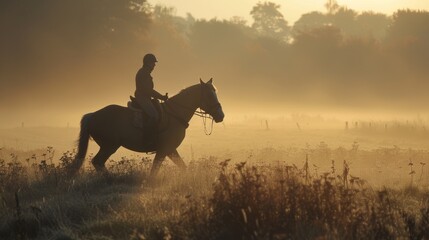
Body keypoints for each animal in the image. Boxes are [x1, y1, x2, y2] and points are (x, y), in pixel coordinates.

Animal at [69, 79, 224, 176]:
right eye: (209, 95)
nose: (221, 115)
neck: (175, 114)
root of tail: (92, 115)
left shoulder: (170, 150)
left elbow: (182, 167)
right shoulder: (165, 149)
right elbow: (155, 170)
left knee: (98, 163)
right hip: (109, 146)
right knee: (98, 162)